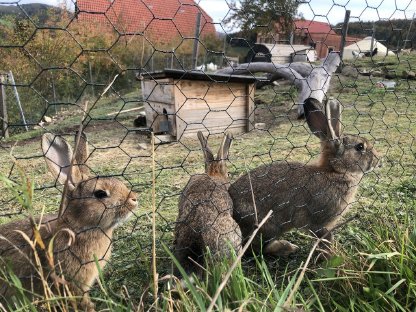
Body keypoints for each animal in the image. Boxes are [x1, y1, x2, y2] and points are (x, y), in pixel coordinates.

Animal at [229, 98, 382, 258]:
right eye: (360, 147)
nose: (379, 161)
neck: (336, 171)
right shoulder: (319, 222)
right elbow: (324, 238)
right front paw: (329, 256)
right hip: (267, 227)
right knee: (255, 248)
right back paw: (287, 248)